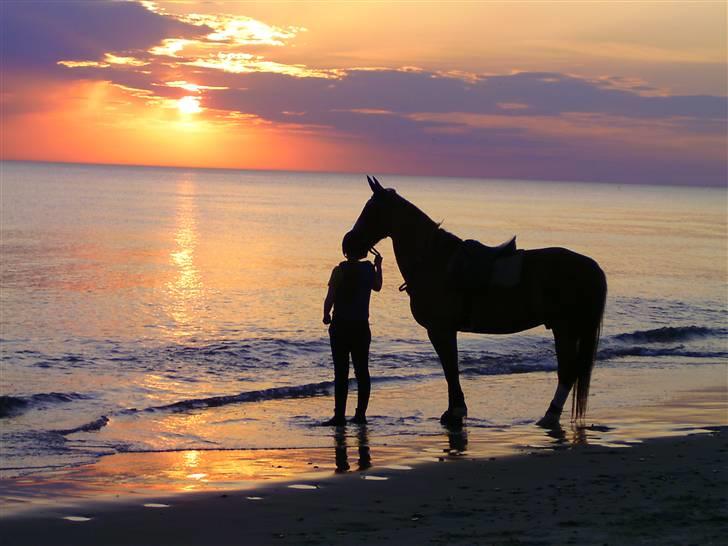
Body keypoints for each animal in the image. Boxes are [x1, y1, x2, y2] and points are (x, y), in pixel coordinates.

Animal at [350, 176, 604, 428]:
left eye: (371, 211)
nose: (347, 243)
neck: (434, 261)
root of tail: (590, 267)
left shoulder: (440, 329)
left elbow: (450, 368)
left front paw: (455, 412)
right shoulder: (444, 330)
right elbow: (450, 368)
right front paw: (454, 410)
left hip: (565, 329)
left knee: (567, 372)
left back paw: (549, 416)